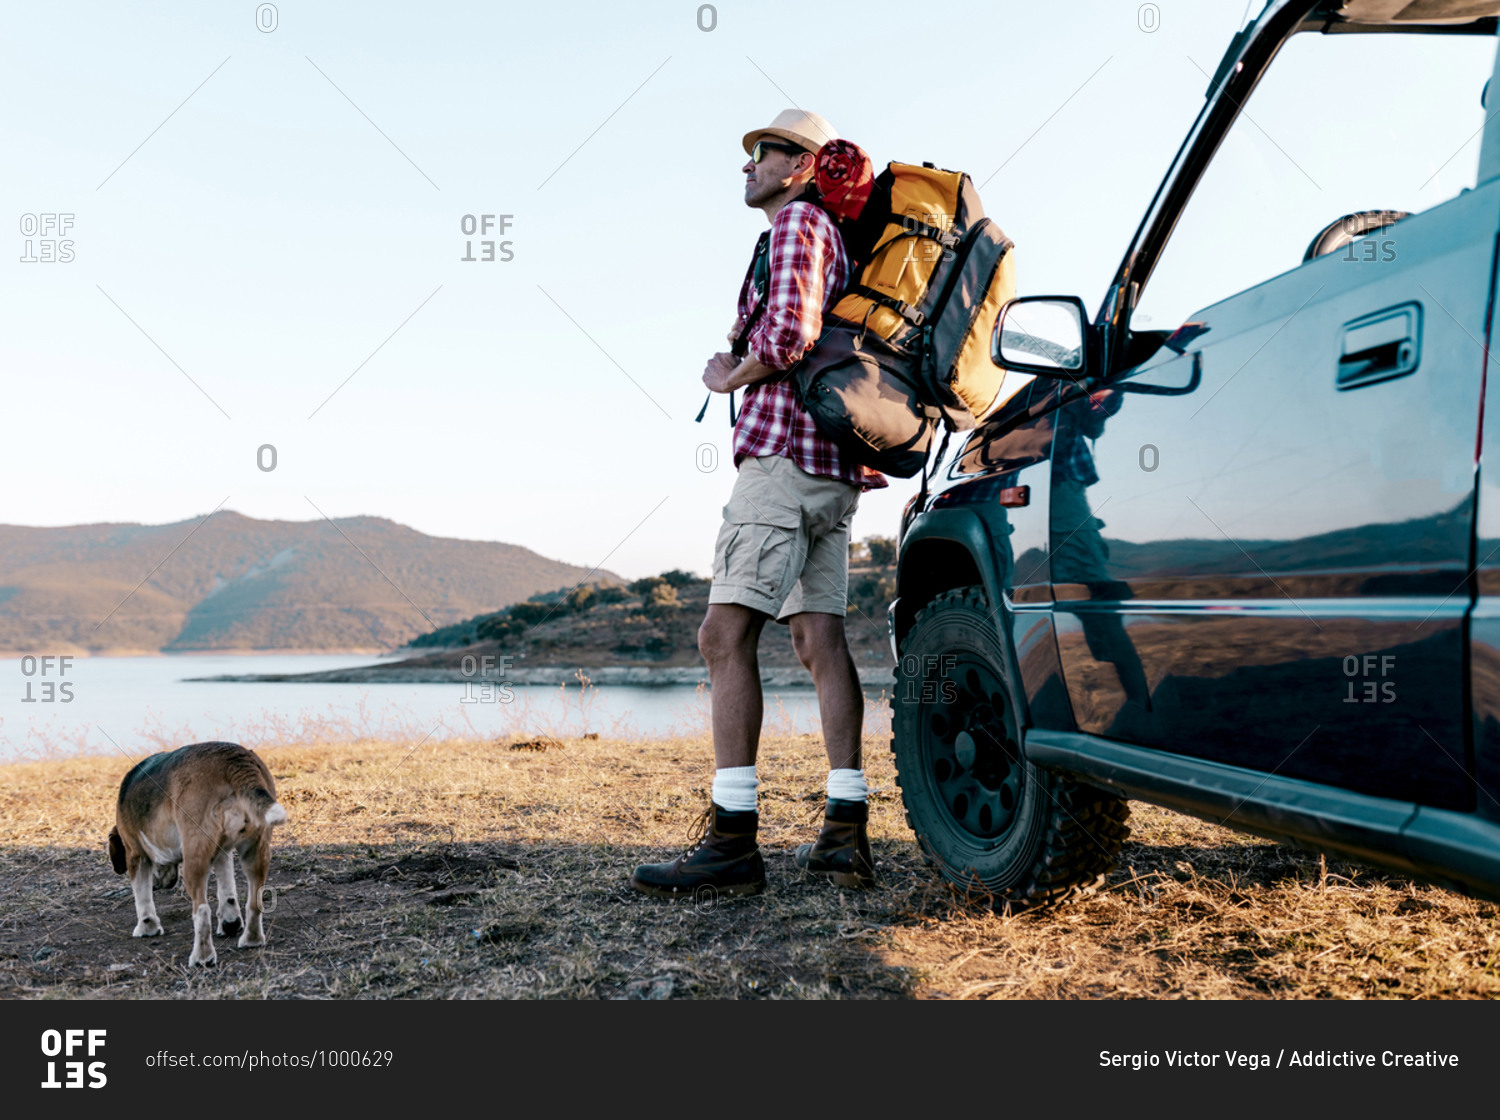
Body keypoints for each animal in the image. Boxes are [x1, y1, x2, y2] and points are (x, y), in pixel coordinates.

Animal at [108, 740, 286, 965]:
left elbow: (142, 897)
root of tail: (234, 758)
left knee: (201, 910)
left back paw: (202, 957)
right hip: (255, 850)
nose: (158, 886)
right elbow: (228, 893)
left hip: (194, 859)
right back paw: (251, 940)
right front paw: (230, 923)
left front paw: (147, 927)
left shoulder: (135, 854)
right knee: (255, 900)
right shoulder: (222, 852)